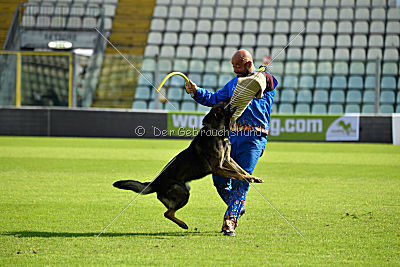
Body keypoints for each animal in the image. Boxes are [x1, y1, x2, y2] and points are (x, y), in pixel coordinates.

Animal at [113, 100, 262, 230]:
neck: (217, 131)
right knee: (167, 213)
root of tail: (155, 183)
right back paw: (183, 224)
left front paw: (253, 177)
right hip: (183, 192)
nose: (230, 97)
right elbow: (236, 173)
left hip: (184, 189)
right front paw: (248, 178)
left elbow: (241, 170)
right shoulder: (218, 168)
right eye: (222, 105)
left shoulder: (227, 160)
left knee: (168, 211)